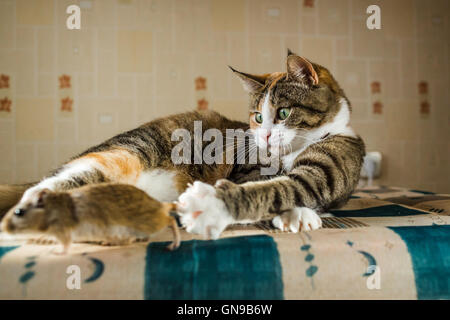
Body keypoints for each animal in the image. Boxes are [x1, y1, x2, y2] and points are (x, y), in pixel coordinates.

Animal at [177, 51, 366, 239]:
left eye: (284, 112)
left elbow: (289, 187)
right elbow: (265, 185)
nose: (265, 135)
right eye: (259, 117)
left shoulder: (330, 167)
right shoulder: (246, 169)